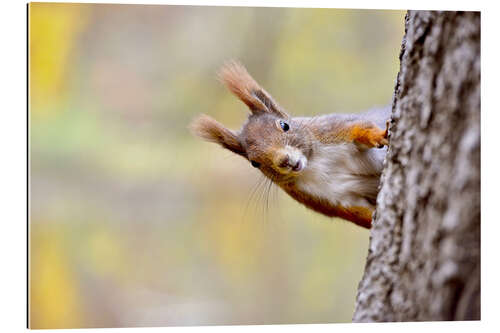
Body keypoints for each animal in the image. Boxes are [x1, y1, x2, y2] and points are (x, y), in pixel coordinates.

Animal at [189, 61, 388, 228]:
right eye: (254, 163)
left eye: (284, 125)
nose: (284, 161)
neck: (313, 164)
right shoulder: (326, 200)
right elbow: (357, 213)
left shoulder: (330, 130)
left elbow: (359, 127)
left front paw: (378, 135)